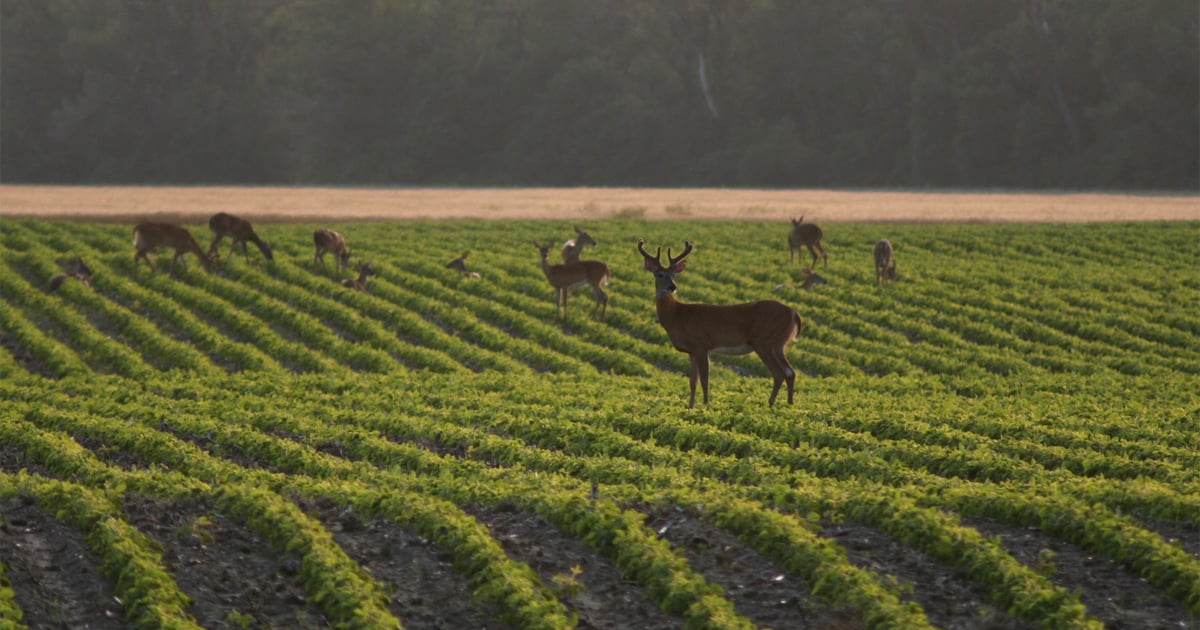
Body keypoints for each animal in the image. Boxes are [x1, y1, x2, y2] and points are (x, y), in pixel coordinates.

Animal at [639, 239, 803, 408]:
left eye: (674, 275)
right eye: (660, 274)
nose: (672, 287)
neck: (677, 315)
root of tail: (793, 312)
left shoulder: (701, 345)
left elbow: (705, 380)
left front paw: (705, 406)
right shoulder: (692, 351)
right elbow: (692, 382)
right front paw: (690, 407)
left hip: (764, 341)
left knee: (779, 373)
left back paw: (770, 405)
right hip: (779, 344)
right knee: (790, 372)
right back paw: (789, 405)